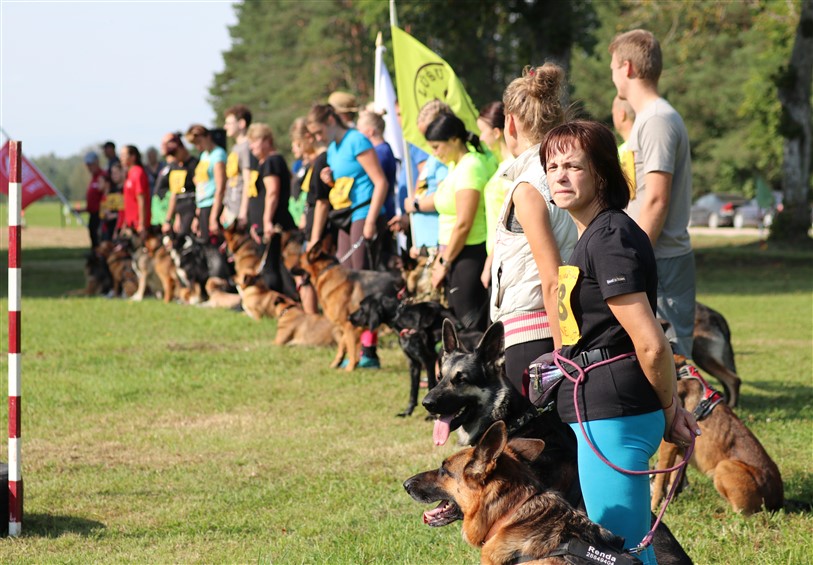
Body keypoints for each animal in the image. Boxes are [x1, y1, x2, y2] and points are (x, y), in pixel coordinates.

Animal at [651, 356, 783, 515]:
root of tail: (778, 501)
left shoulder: (668, 444)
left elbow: (660, 481)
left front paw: (653, 509)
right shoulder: (681, 448)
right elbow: (673, 481)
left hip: (724, 466)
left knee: (743, 513)